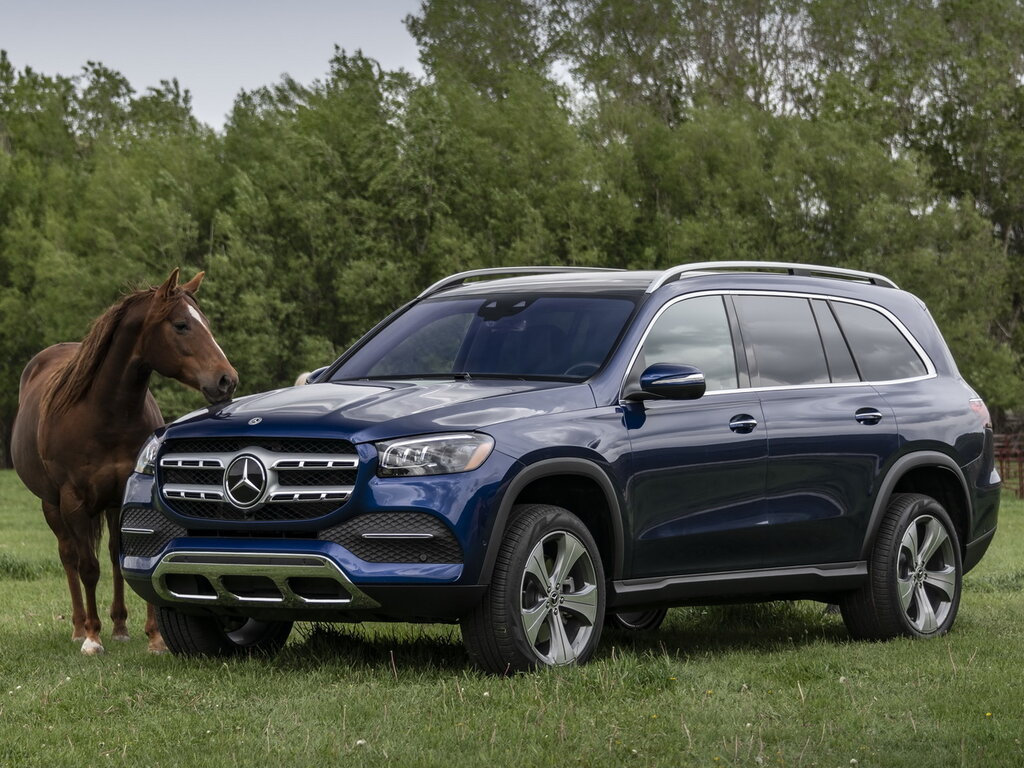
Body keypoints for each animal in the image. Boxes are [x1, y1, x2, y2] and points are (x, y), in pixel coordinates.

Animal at [10, 270, 237, 655]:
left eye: (205, 323)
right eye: (181, 325)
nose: (226, 380)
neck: (105, 414)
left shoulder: (124, 497)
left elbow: (130, 559)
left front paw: (153, 637)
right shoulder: (73, 502)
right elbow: (88, 567)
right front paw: (92, 638)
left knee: (114, 557)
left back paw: (118, 626)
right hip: (51, 506)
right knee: (69, 557)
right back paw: (78, 627)